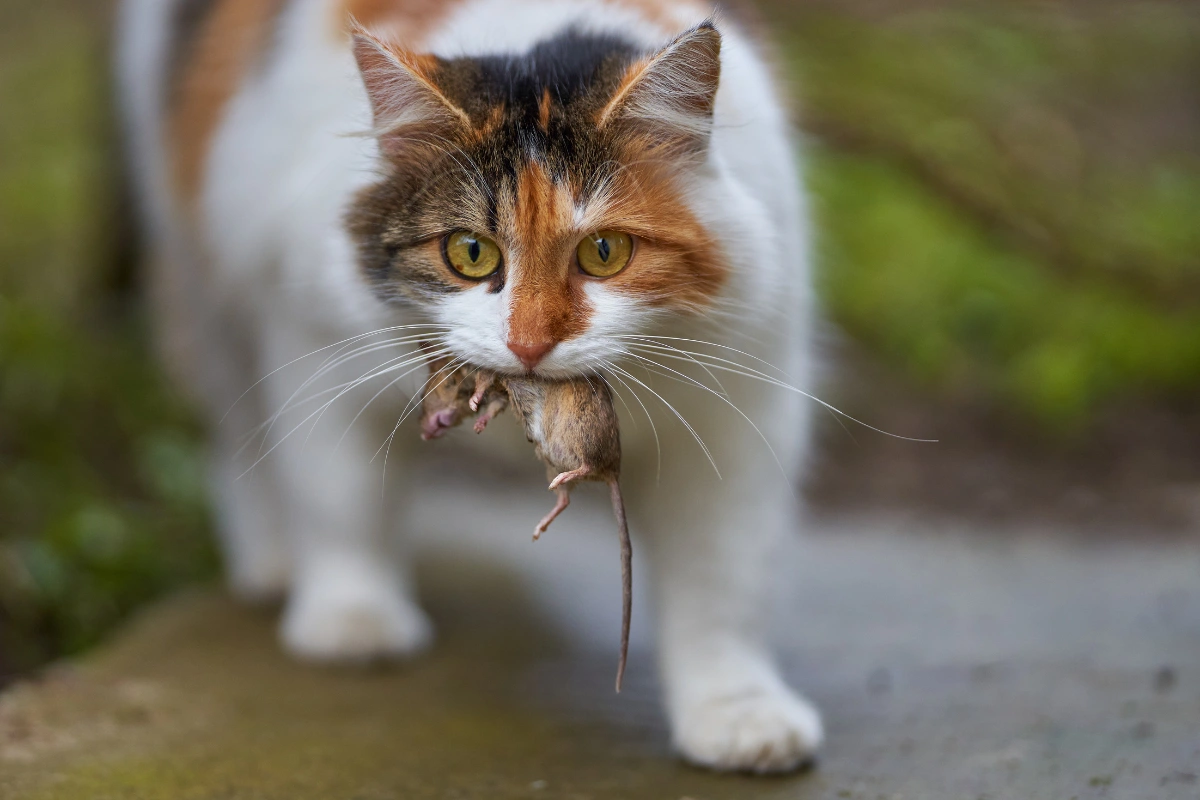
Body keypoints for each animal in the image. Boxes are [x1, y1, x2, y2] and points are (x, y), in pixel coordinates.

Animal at [117, 0, 820, 777]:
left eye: (605, 253)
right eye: (471, 253)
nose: (530, 343)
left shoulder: (741, 409)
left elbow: (724, 580)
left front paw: (738, 713)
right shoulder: (313, 344)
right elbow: (341, 502)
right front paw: (353, 621)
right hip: (206, 279)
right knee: (241, 432)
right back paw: (272, 561)